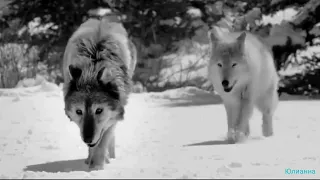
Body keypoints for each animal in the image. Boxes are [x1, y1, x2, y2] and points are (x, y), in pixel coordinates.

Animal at [62, 17, 136, 170]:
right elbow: (94, 146)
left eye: (99, 110)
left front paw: (96, 167)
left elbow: (102, 143)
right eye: (79, 111)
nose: (87, 139)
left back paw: (110, 157)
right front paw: (91, 161)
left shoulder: (111, 118)